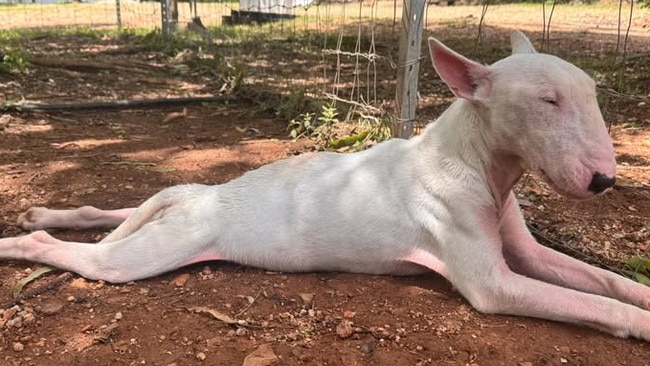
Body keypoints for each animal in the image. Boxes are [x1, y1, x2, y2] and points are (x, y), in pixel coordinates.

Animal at [1, 31, 648, 340]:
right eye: (548, 102)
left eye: (590, 95)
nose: (604, 181)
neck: (477, 161)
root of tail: (199, 199)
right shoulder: (494, 285)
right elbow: (593, 303)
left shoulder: (528, 254)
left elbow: (604, 282)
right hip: (148, 252)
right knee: (83, 255)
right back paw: (22, 241)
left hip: (165, 209)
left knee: (112, 211)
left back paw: (43, 215)